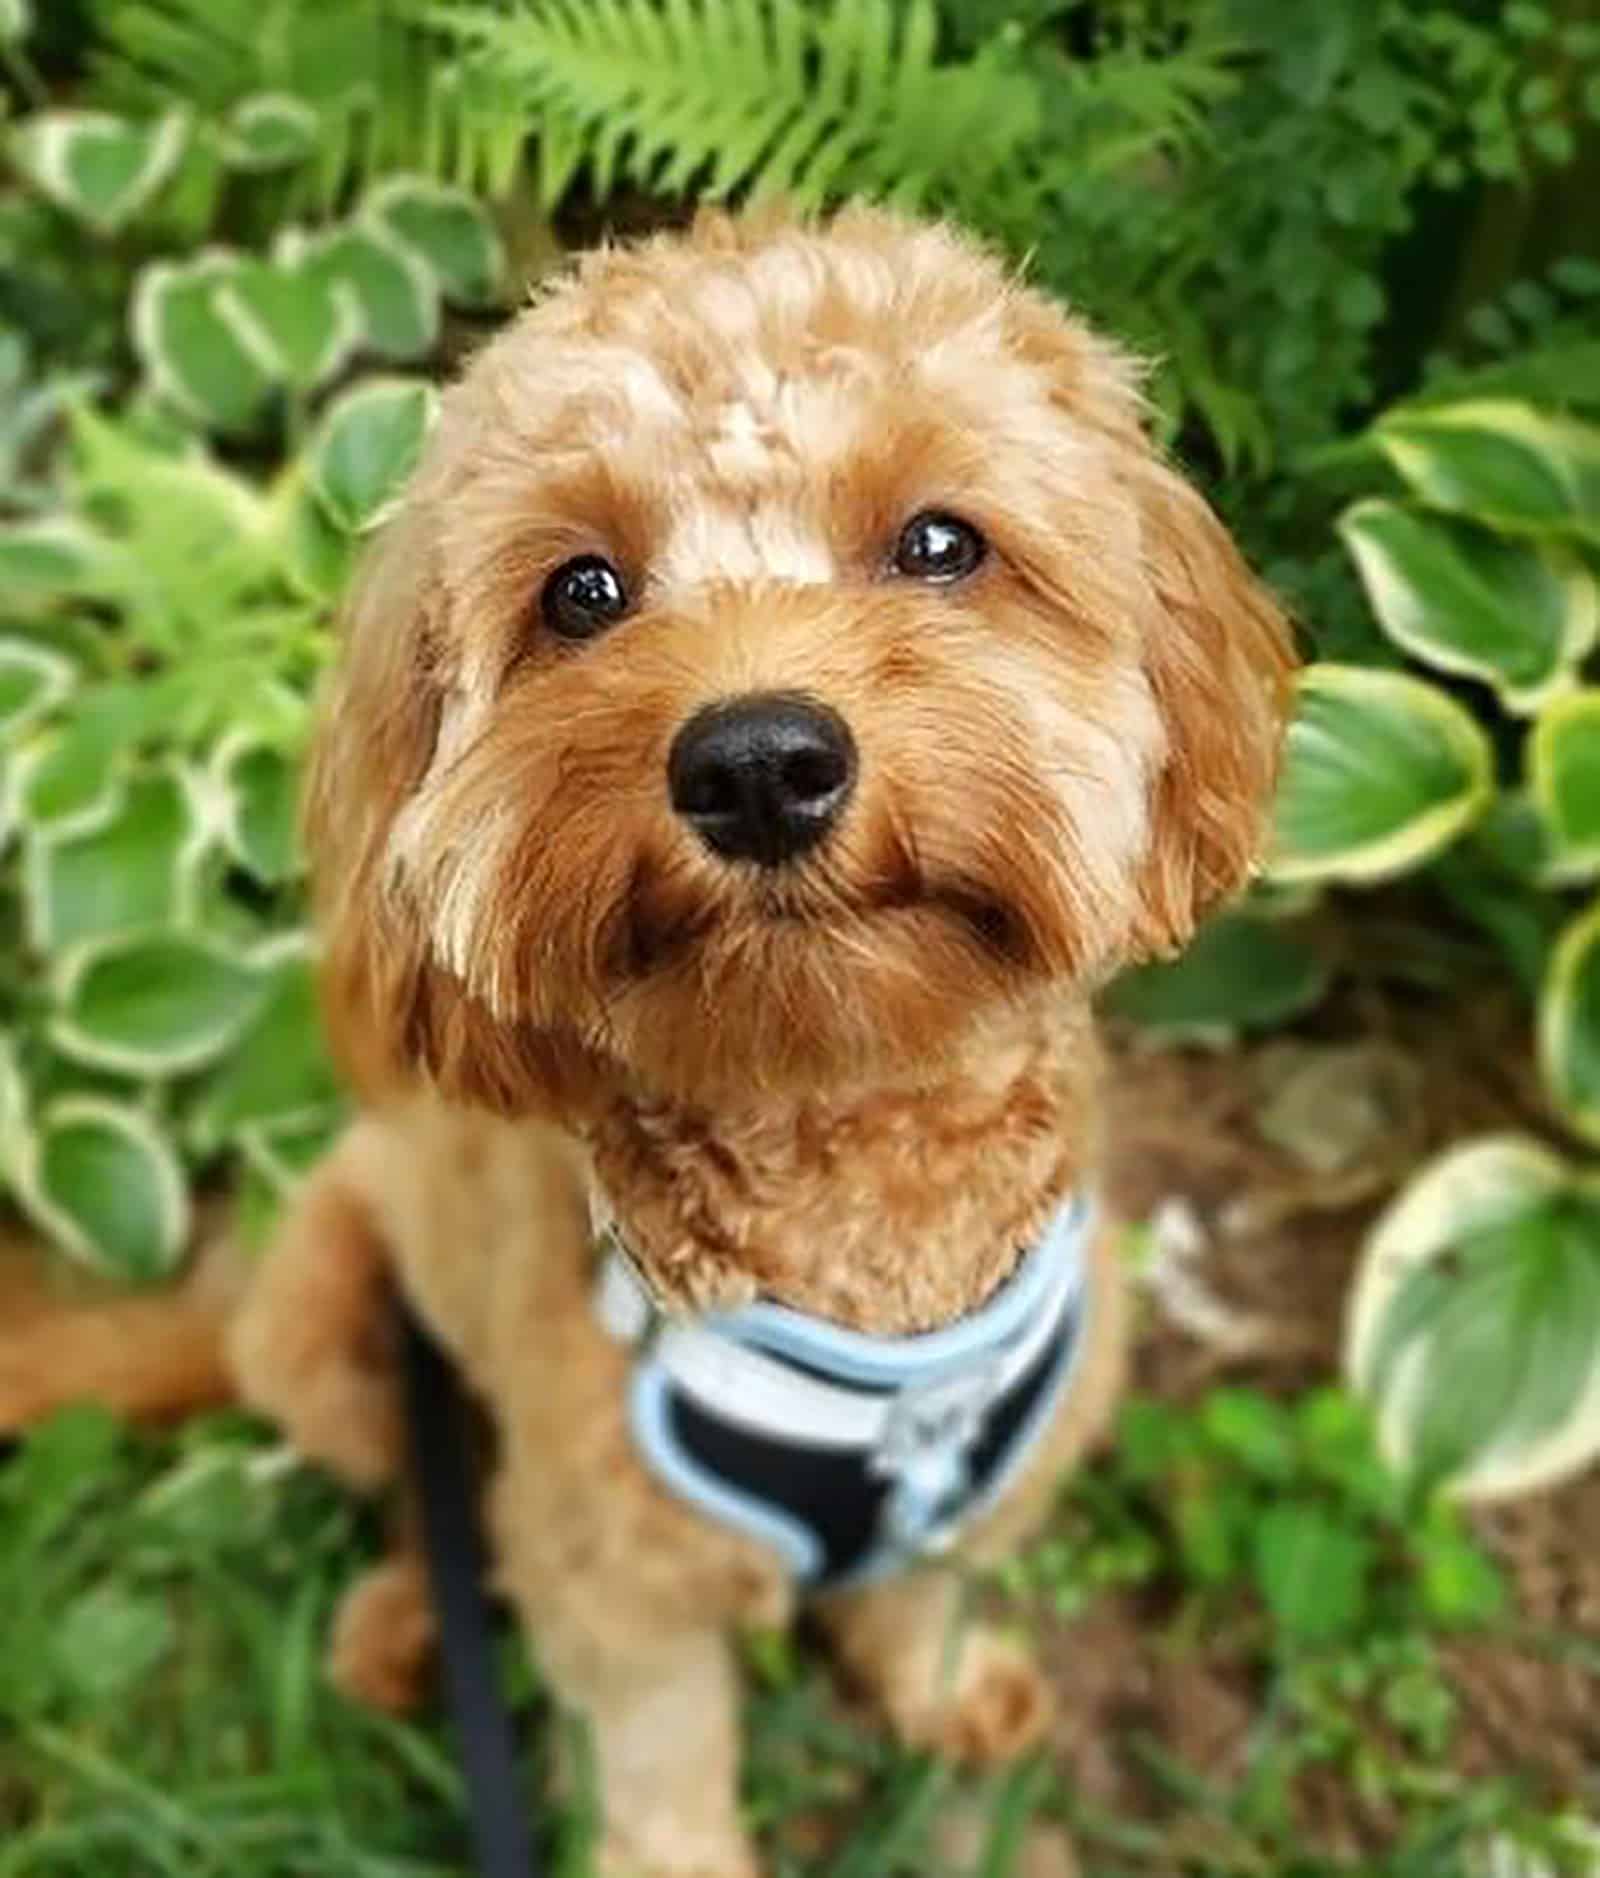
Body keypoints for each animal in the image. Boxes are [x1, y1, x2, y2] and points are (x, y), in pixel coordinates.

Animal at [3, 209, 1299, 1878]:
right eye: (582, 590)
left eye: (942, 543)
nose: (756, 762)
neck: (864, 1245)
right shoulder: (619, 1576)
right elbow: (663, 1762)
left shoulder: (981, 1477)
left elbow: (922, 1596)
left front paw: (946, 1689)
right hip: (331, 1331)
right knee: (422, 1499)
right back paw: (401, 1624)